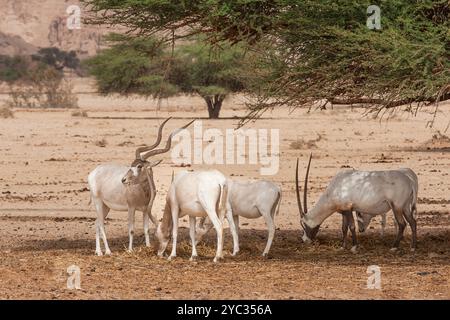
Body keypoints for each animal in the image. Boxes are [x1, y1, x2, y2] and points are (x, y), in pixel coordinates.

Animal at [88, 117, 193, 255]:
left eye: (139, 166)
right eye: (132, 164)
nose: (123, 179)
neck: (143, 192)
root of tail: (93, 173)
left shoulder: (144, 209)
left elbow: (146, 229)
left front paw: (147, 246)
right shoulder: (131, 208)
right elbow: (131, 229)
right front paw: (130, 250)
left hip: (106, 206)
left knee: (96, 223)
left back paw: (98, 251)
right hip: (98, 202)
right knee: (101, 224)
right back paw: (107, 251)